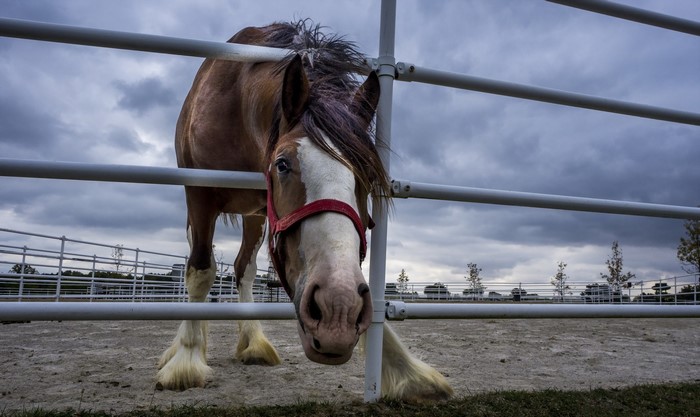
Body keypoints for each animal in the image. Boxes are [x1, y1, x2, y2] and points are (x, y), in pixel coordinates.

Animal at [157, 20, 453, 402]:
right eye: (282, 164)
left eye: (368, 176)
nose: (338, 311)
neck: (235, 104)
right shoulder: (200, 195)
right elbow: (200, 272)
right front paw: (187, 361)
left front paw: (405, 369)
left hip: (256, 217)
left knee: (244, 269)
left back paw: (254, 342)